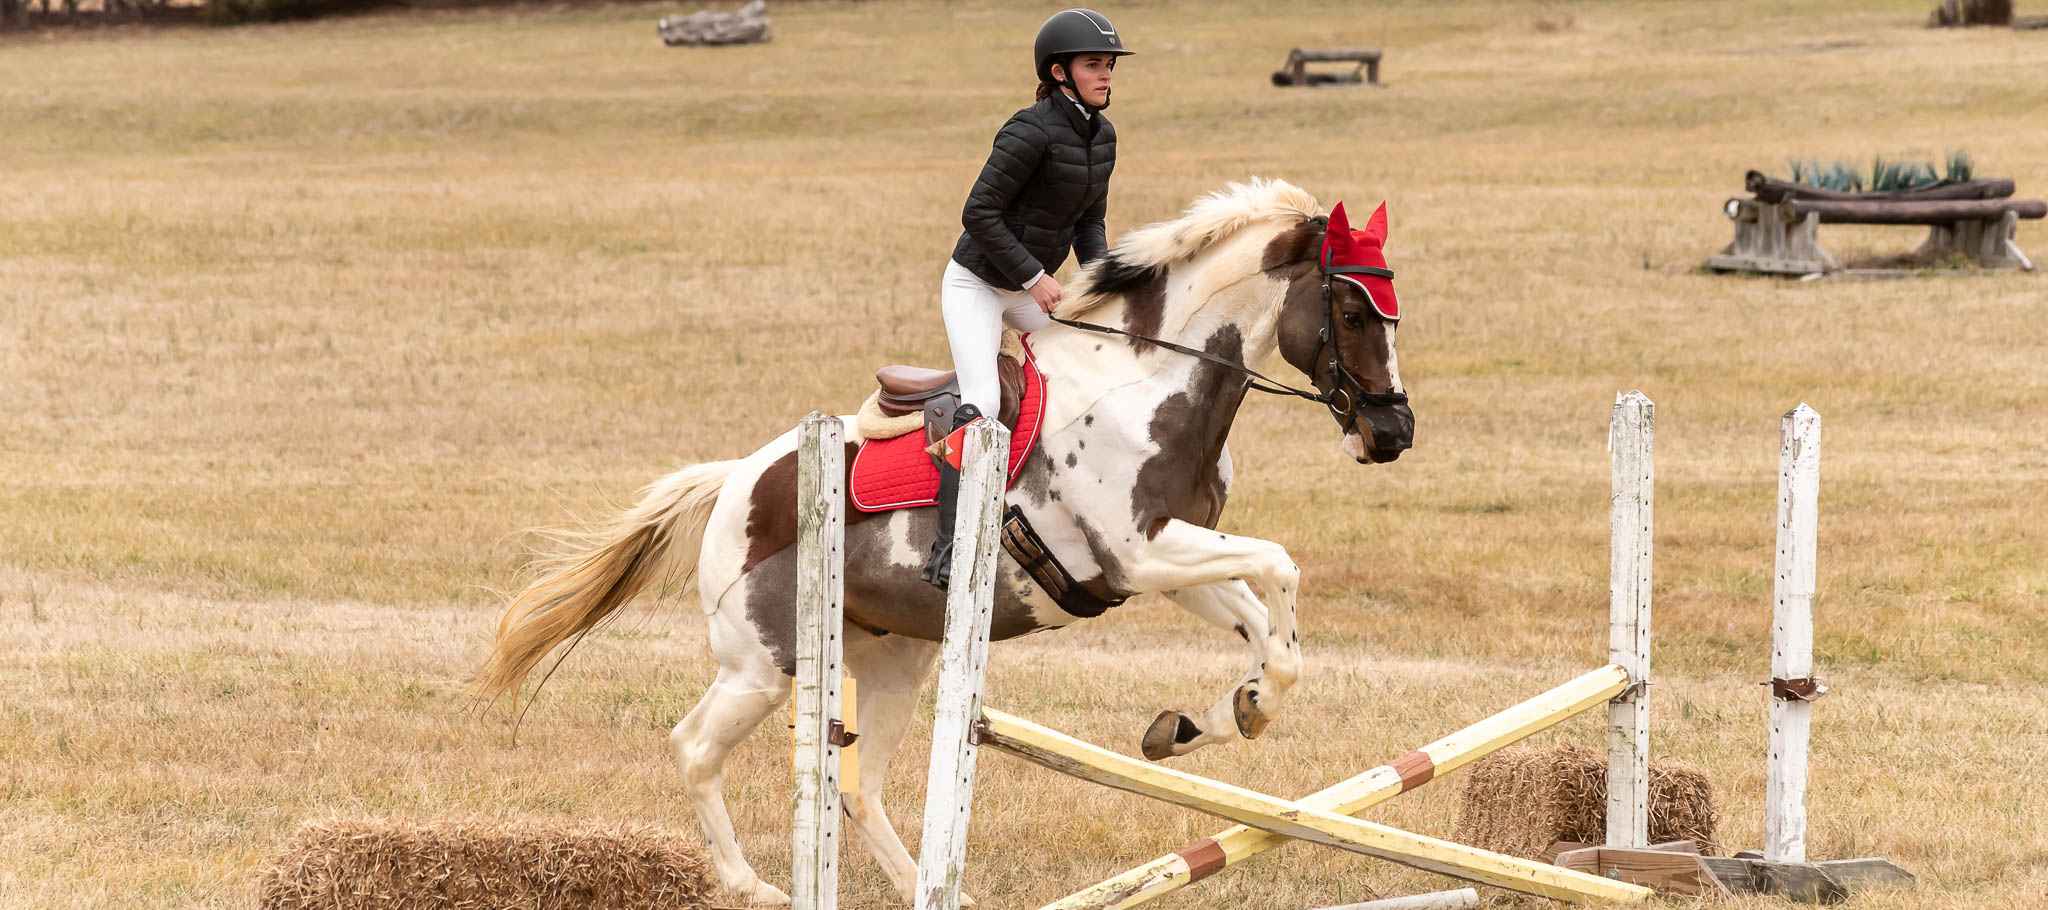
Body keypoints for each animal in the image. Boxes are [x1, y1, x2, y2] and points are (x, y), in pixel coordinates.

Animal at [471, 177, 1417, 901]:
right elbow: (1281, 567)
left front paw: (1210, 719)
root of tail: (739, 479)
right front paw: (1227, 709)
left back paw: (927, 887)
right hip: (763, 663)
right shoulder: (1139, 553)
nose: (1393, 435)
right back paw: (752, 884)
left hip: (897, 658)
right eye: (1352, 308)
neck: (1149, 381)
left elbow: (1268, 630)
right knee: (695, 748)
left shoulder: (1158, 563)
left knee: (859, 786)